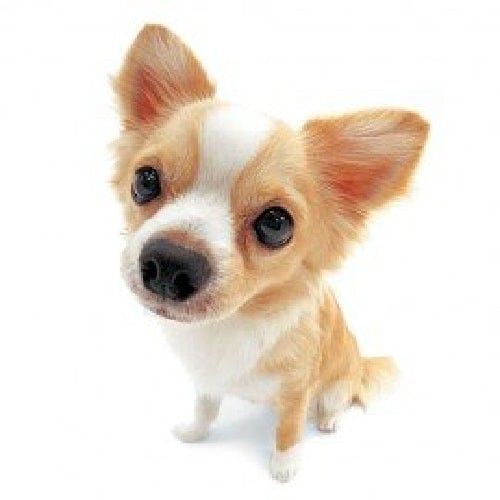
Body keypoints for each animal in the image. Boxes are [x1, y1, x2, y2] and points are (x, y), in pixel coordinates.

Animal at [111, 23, 428, 480]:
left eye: (276, 224)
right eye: (145, 180)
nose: (170, 263)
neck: (235, 321)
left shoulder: (298, 388)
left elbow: (289, 429)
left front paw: (284, 466)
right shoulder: (208, 379)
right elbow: (205, 408)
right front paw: (195, 433)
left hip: (338, 382)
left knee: (336, 401)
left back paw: (329, 420)